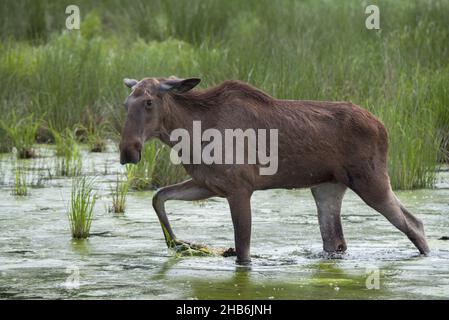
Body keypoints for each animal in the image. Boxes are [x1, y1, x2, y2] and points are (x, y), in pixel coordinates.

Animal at [119, 76, 428, 264]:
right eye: (125, 103)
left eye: (149, 102)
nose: (127, 151)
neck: (190, 135)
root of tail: (382, 126)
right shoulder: (208, 184)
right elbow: (158, 196)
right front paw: (178, 243)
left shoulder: (240, 188)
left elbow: (243, 251)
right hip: (328, 187)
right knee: (336, 241)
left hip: (371, 180)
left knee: (415, 224)